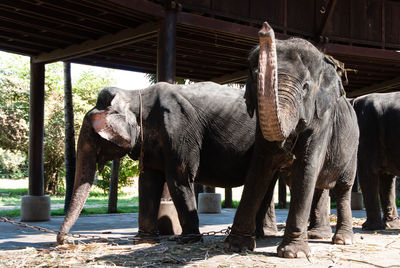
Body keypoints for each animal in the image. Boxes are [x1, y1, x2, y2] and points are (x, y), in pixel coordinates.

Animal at [57, 81, 282, 245]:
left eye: (92, 137)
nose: (65, 240)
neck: (135, 94)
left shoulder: (178, 129)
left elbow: (178, 179)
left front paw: (188, 241)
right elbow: (148, 183)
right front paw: (144, 240)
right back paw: (261, 235)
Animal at [225, 22, 360, 258]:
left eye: (305, 86)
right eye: (255, 75)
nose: (265, 29)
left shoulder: (322, 119)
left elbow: (306, 167)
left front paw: (293, 253)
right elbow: (260, 166)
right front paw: (235, 246)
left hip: (353, 150)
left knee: (343, 188)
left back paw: (342, 240)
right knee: (319, 186)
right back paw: (317, 235)